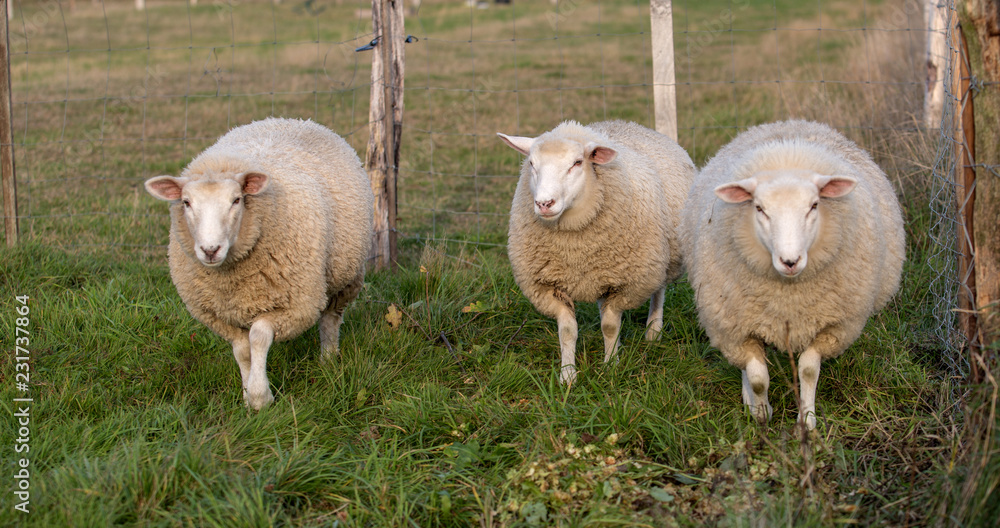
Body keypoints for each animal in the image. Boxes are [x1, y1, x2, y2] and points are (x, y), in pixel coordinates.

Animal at [144, 118, 374, 410]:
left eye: (236, 200)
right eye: (186, 202)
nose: (210, 250)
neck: (231, 278)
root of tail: (289, 119)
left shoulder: (296, 305)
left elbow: (259, 337)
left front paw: (260, 397)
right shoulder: (221, 315)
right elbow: (242, 350)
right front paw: (246, 394)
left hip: (344, 275)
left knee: (330, 318)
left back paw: (329, 358)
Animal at [498, 120, 696, 385]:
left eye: (577, 163)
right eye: (531, 164)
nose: (544, 204)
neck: (575, 245)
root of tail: (627, 123)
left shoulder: (625, 283)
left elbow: (610, 327)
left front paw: (611, 366)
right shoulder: (549, 285)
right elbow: (567, 331)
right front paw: (568, 375)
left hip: (661, 259)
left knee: (659, 291)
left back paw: (653, 331)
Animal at [680, 120, 905, 430]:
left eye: (814, 205)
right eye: (759, 208)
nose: (790, 261)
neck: (788, 298)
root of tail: (789, 124)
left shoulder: (832, 326)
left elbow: (808, 370)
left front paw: (807, 420)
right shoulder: (735, 327)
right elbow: (758, 377)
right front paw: (761, 414)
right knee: (745, 365)